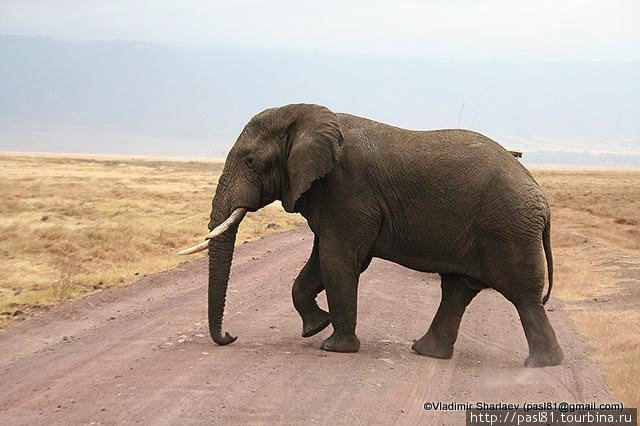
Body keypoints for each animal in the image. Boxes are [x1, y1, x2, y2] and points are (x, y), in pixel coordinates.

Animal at [178, 102, 564, 366]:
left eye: (250, 162)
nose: (230, 336)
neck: (307, 114)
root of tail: (542, 199)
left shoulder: (348, 190)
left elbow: (339, 259)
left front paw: (335, 348)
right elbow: (320, 262)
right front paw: (315, 328)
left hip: (508, 229)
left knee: (523, 298)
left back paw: (541, 365)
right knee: (457, 290)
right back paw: (426, 352)